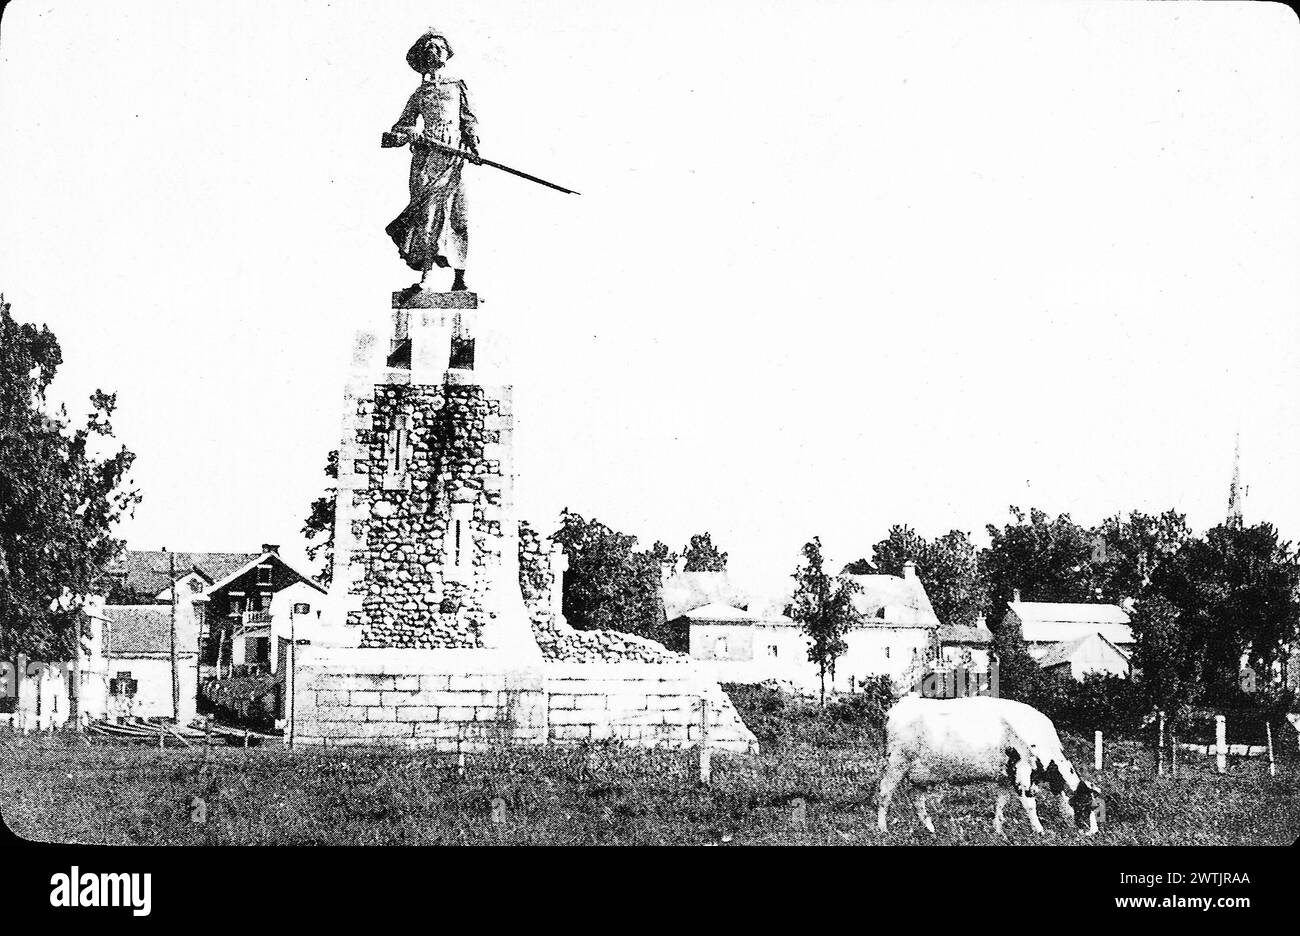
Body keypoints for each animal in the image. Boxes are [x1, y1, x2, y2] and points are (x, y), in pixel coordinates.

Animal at [878, 696, 1102, 832]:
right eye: (1085, 806)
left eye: (1094, 806)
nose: (1093, 833)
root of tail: (901, 704)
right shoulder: (1021, 772)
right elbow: (1030, 805)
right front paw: (1039, 831)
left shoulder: (1006, 776)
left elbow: (1001, 803)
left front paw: (998, 830)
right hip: (895, 763)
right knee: (884, 794)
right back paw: (882, 829)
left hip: (922, 773)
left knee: (916, 797)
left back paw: (930, 830)